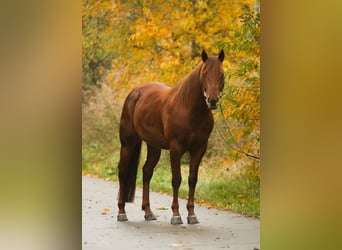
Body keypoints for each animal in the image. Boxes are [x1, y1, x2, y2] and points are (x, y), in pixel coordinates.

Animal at [117, 49, 224, 225]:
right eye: (204, 73)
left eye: (222, 74)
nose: (213, 100)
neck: (190, 109)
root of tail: (135, 93)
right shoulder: (176, 149)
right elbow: (176, 179)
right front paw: (176, 215)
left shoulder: (199, 149)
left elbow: (192, 179)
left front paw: (191, 214)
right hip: (128, 143)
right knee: (123, 172)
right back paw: (121, 212)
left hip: (154, 147)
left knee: (146, 172)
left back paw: (148, 211)